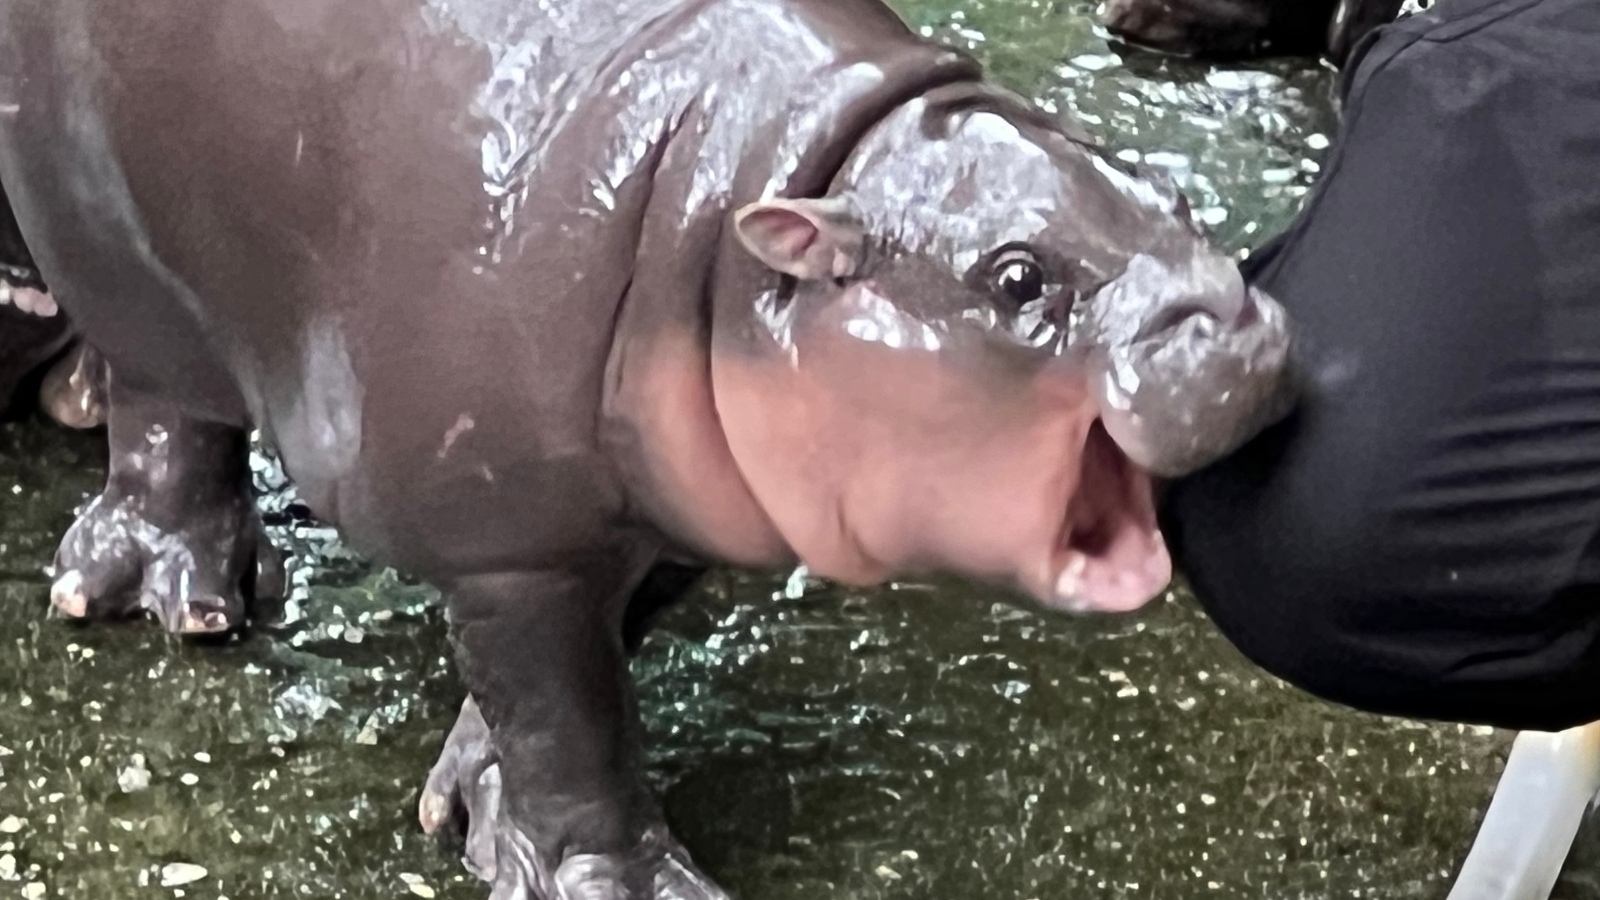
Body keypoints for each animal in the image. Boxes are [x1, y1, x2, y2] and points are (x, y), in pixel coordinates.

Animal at [0, 0, 1294, 895]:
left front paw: (471, 798)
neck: (747, 219)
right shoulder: (513, 546)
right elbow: (568, 720)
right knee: (167, 411)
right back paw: (164, 594)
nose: (1235, 327)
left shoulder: (658, 511)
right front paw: (622, 880)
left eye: (1171, 198)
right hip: (111, 246)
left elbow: (573, 673)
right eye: (1016, 276)